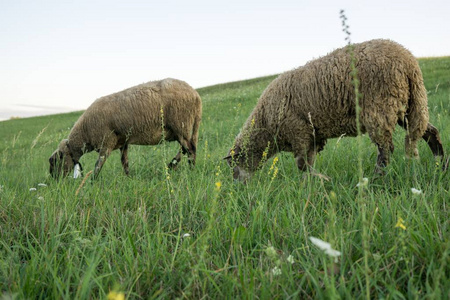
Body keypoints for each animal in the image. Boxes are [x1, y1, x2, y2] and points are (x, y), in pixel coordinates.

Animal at [49, 78, 202, 179]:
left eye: (56, 160)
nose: (54, 180)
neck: (84, 133)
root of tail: (195, 95)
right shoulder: (122, 142)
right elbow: (124, 162)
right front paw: (128, 177)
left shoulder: (106, 143)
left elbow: (98, 164)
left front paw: (92, 181)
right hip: (181, 129)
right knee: (186, 148)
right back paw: (173, 165)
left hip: (181, 124)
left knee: (190, 150)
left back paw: (191, 169)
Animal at [225, 38, 446, 182]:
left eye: (234, 166)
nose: (238, 186)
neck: (266, 126)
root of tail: (408, 62)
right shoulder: (313, 137)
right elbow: (308, 164)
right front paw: (312, 184)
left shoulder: (298, 131)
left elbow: (302, 164)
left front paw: (323, 179)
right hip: (410, 104)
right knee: (430, 132)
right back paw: (440, 164)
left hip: (380, 107)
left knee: (386, 149)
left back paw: (375, 179)